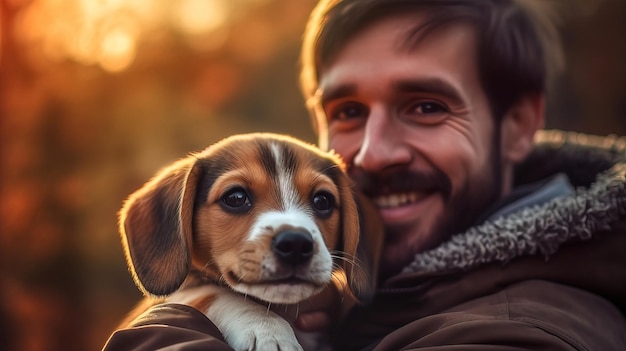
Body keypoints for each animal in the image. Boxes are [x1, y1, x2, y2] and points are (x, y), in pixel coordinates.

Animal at [116, 133, 380, 350]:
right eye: (235, 197)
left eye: (323, 201)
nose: (295, 244)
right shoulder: (180, 296)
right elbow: (216, 293)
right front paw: (267, 330)